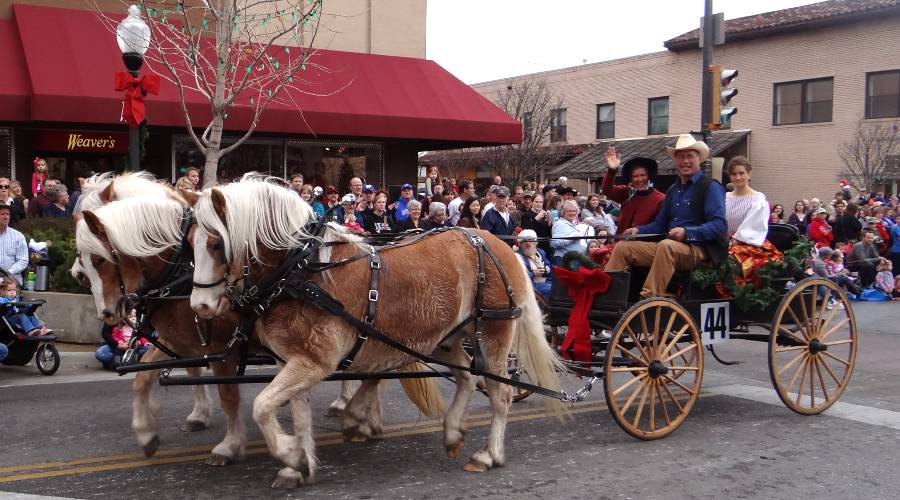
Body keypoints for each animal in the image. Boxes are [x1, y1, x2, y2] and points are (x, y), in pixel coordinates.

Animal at [188, 177, 568, 488]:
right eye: (189, 242)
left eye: (217, 244)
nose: (200, 305)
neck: (302, 271)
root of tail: (497, 243)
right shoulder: (294, 361)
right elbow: (296, 414)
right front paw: (298, 465)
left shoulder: (314, 361)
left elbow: (262, 406)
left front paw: (292, 454)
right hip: (444, 337)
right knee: (466, 378)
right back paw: (452, 433)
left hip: (493, 332)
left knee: (499, 392)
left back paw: (488, 454)